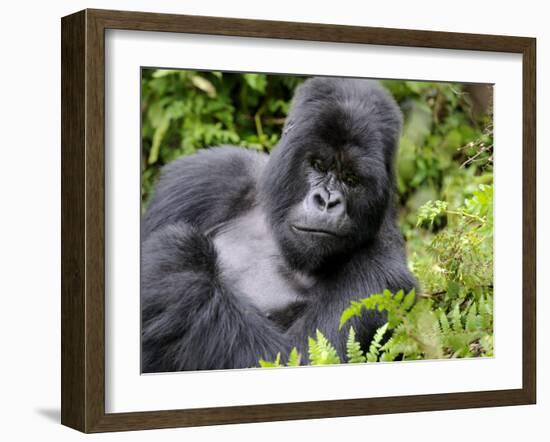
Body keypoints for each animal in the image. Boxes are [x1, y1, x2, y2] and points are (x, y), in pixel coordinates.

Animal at [142, 77, 418, 372]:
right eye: (318, 165)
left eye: (351, 179)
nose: (327, 201)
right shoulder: (208, 174)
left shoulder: (383, 275)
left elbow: (294, 355)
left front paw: (179, 259)